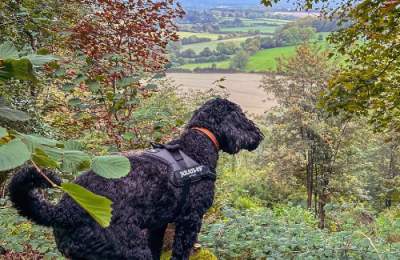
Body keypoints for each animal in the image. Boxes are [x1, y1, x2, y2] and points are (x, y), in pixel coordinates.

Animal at [8, 98, 262, 260]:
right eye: (241, 115)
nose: (259, 134)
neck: (195, 147)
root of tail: (66, 210)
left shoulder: (158, 224)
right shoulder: (190, 219)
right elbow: (181, 252)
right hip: (130, 249)